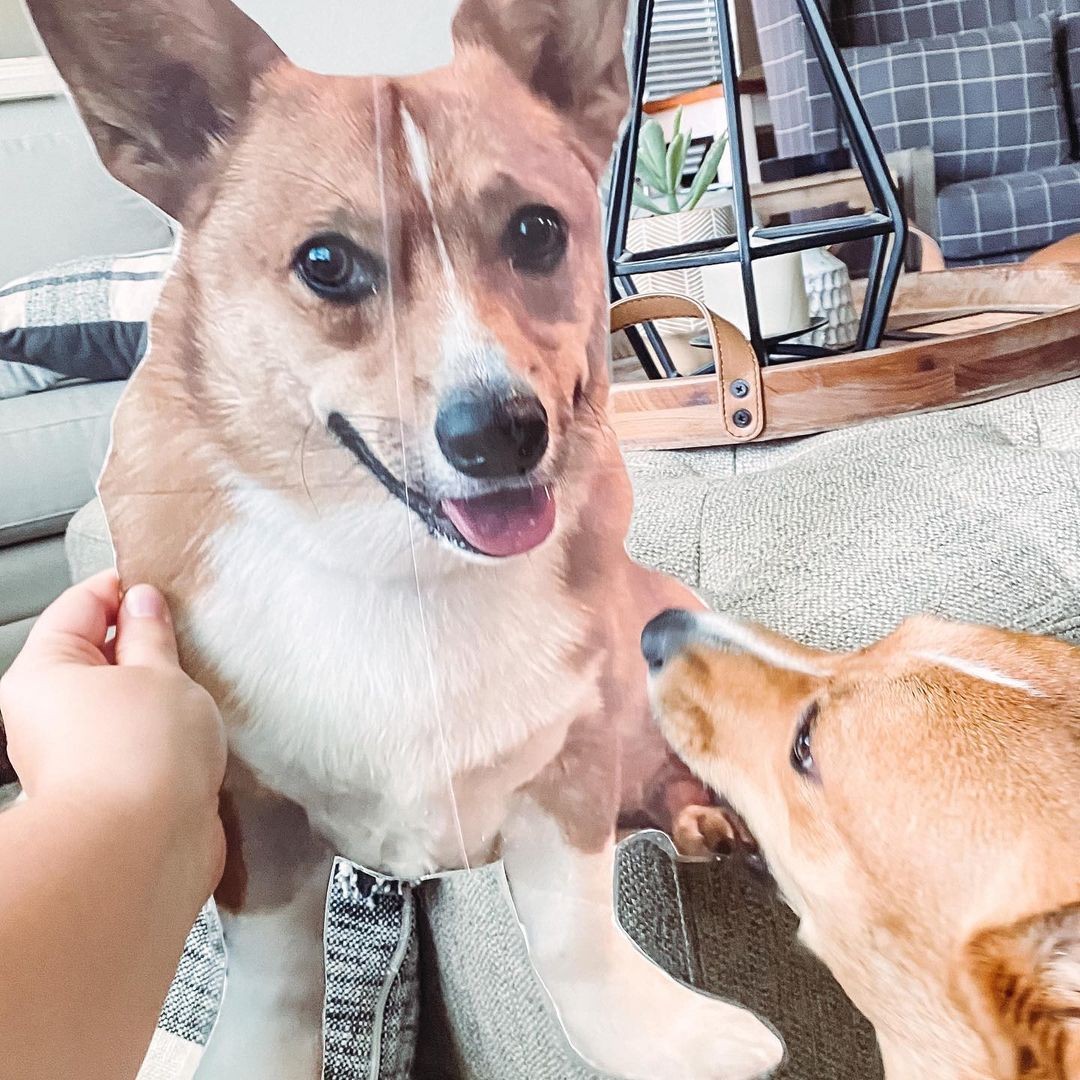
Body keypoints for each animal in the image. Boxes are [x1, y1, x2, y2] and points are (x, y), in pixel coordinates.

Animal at [25, 2, 786, 1080]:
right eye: (325, 263)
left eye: (537, 230)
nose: (502, 431)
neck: (405, 567)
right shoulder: (254, 816)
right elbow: (278, 971)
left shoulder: (571, 766)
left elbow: (574, 931)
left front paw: (657, 1036)